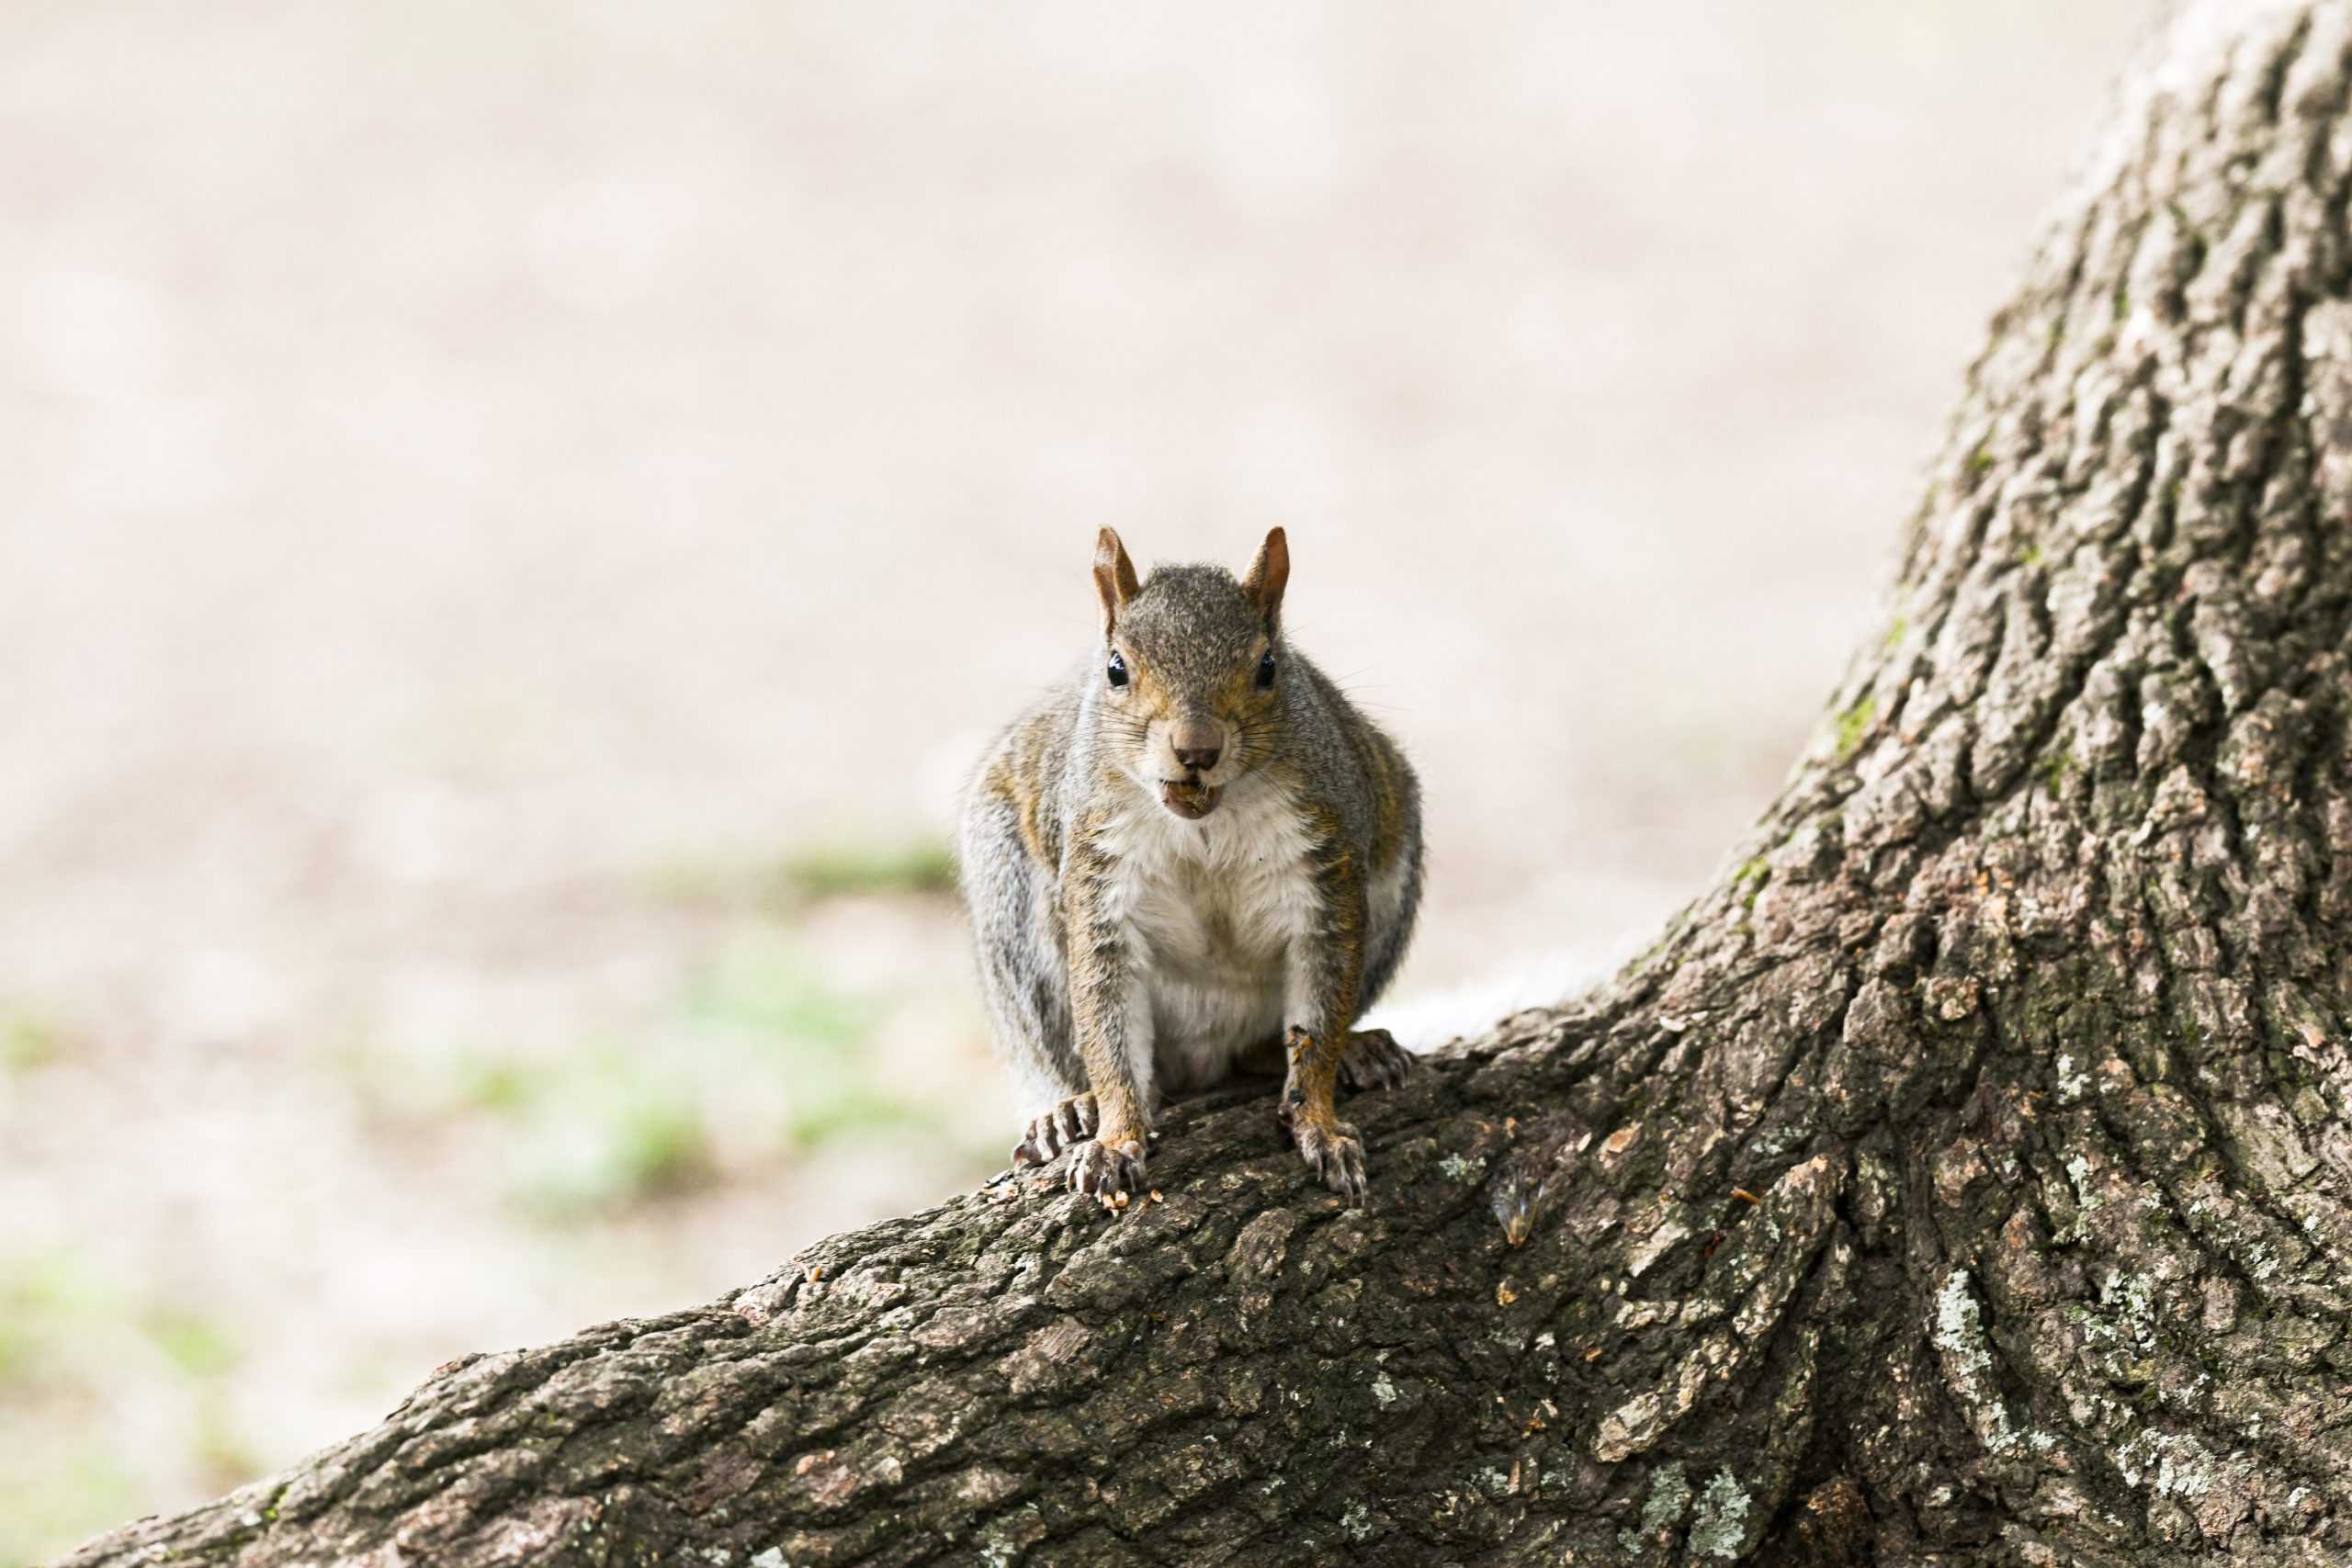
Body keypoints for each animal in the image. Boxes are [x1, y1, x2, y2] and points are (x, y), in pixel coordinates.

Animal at [950, 526, 1411, 1203]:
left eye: (1269, 666)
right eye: (1116, 668)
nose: (1196, 750)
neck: (1205, 823)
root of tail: (1203, 1060)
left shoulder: (1326, 865)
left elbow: (1318, 1022)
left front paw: (1320, 1123)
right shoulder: (1099, 872)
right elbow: (1107, 1019)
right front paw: (1116, 1139)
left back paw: (1357, 1049)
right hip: (1008, 896)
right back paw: (1069, 1109)